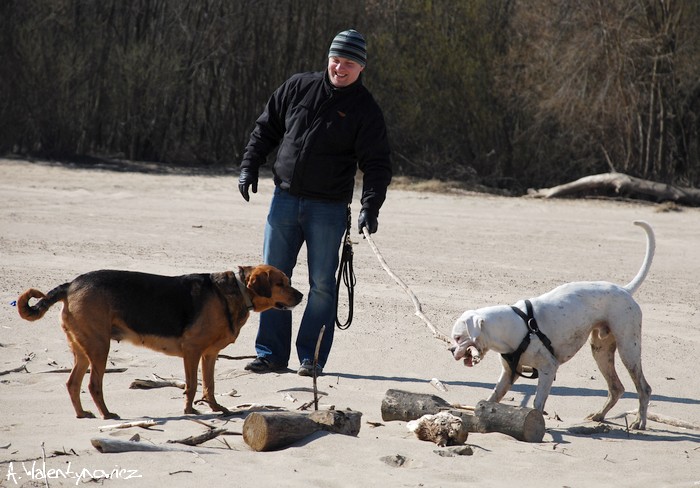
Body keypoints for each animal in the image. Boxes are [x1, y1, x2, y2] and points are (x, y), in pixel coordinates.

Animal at [16, 264, 300, 422]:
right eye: (280, 283)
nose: (301, 295)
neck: (238, 291)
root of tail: (70, 284)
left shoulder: (209, 355)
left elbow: (209, 386)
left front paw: (217, 408)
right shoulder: (192, 351)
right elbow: (192, 386)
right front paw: (189, 411)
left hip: (84, 349)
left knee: (72, 383)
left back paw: (82, 414)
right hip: (99, 348)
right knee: (93, 385)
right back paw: (107, 415)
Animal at [452, 219, 652, 428]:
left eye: (458, 338)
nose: (451, 350)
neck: (517, 326)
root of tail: (624, 289)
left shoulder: (548, 369)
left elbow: (537, 403)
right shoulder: (509, 374)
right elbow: (493, 398)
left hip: (628, 350)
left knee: (643, 388)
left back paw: (639, 420)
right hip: (601, 351)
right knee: (616, 388)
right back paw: (599, 415)